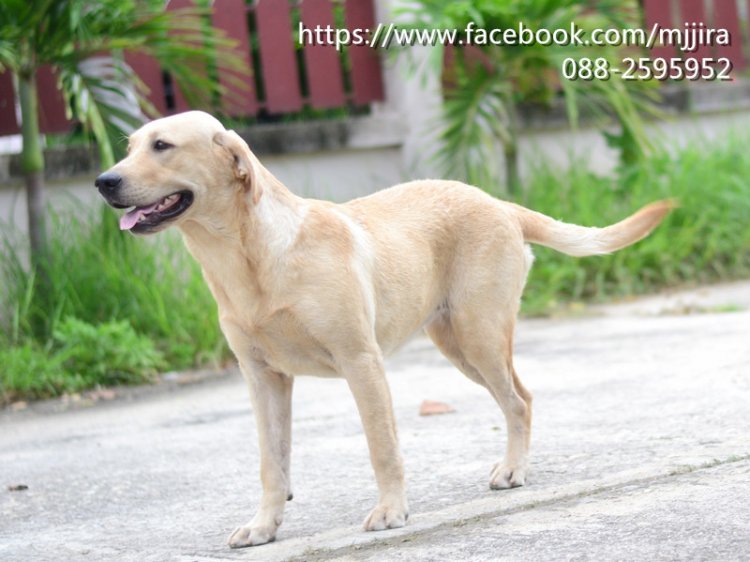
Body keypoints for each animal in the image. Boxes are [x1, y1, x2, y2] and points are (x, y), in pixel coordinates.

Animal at [95, 110, 671, 548]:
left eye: (163, 146)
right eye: (129, 147)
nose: (104, 181)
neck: (250, 258)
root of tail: (498, 202)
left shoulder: (361, 362)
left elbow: (382, 447)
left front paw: (392, 511)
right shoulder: (262, 379)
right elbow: (271, 463)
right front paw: (264, 526)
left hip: (479, 336)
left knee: (520, 400)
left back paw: (513, 470)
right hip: (455, 342)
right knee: (515, 399)